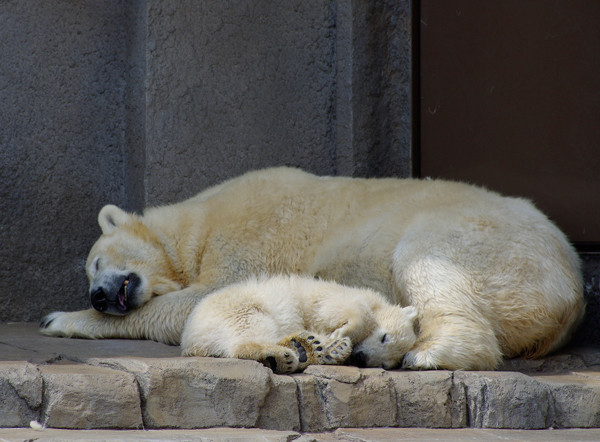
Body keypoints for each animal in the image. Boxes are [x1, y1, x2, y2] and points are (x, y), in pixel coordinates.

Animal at [39, 166, 584, 370]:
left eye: (96, 262)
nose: (98, 295)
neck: (198, 223)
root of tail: (573, 291)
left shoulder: (249, 234)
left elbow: (201, 298)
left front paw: (59, 318)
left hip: (489, 244)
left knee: (430, 262)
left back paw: (430, 353)